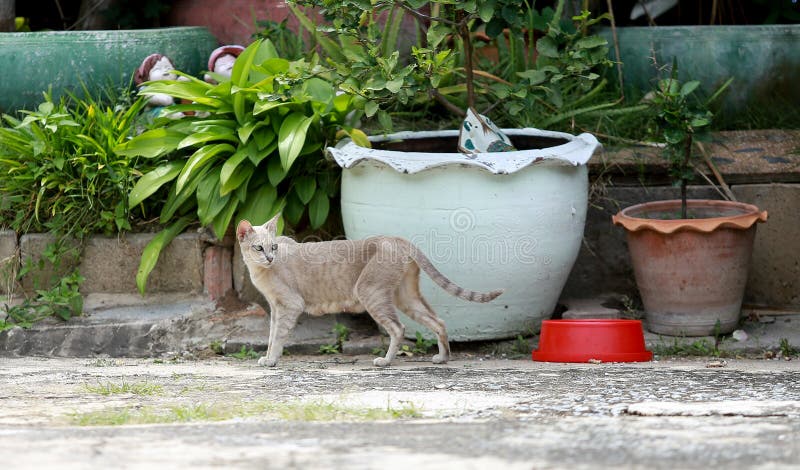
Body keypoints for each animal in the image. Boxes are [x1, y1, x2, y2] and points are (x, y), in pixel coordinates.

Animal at [234, 216, 504, 368]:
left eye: (273, 247)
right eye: (259, 248)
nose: (270, 258)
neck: (260, 272)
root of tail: (397, 238)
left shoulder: (289, 305)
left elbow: (278, 337)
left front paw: (271, 360)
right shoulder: (275, 308)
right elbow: (271, 336)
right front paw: (268, 357)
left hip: (370, 292)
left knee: (398, 328)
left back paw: (385, 361)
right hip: (405, 297)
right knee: (438, 321)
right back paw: (443, 358)